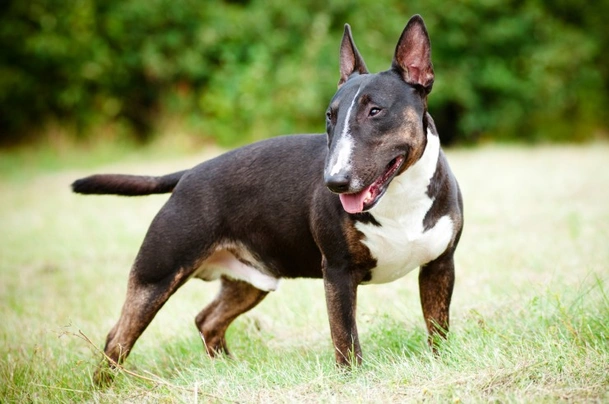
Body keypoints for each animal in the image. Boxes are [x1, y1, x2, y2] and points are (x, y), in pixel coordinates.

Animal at [72, 14, 460, 384]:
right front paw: (354, 382)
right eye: (330, 116)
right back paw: (104, 387)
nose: (334, 183)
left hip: (250, 279)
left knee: (207, 320)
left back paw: (228, 371)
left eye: (375, 111)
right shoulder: (338, 272)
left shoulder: (440, 265)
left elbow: (437, 327)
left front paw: (440, 364)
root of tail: (188, 174)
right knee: (118, 338)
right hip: (157, 274)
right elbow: (346, 338)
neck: (399, 195)